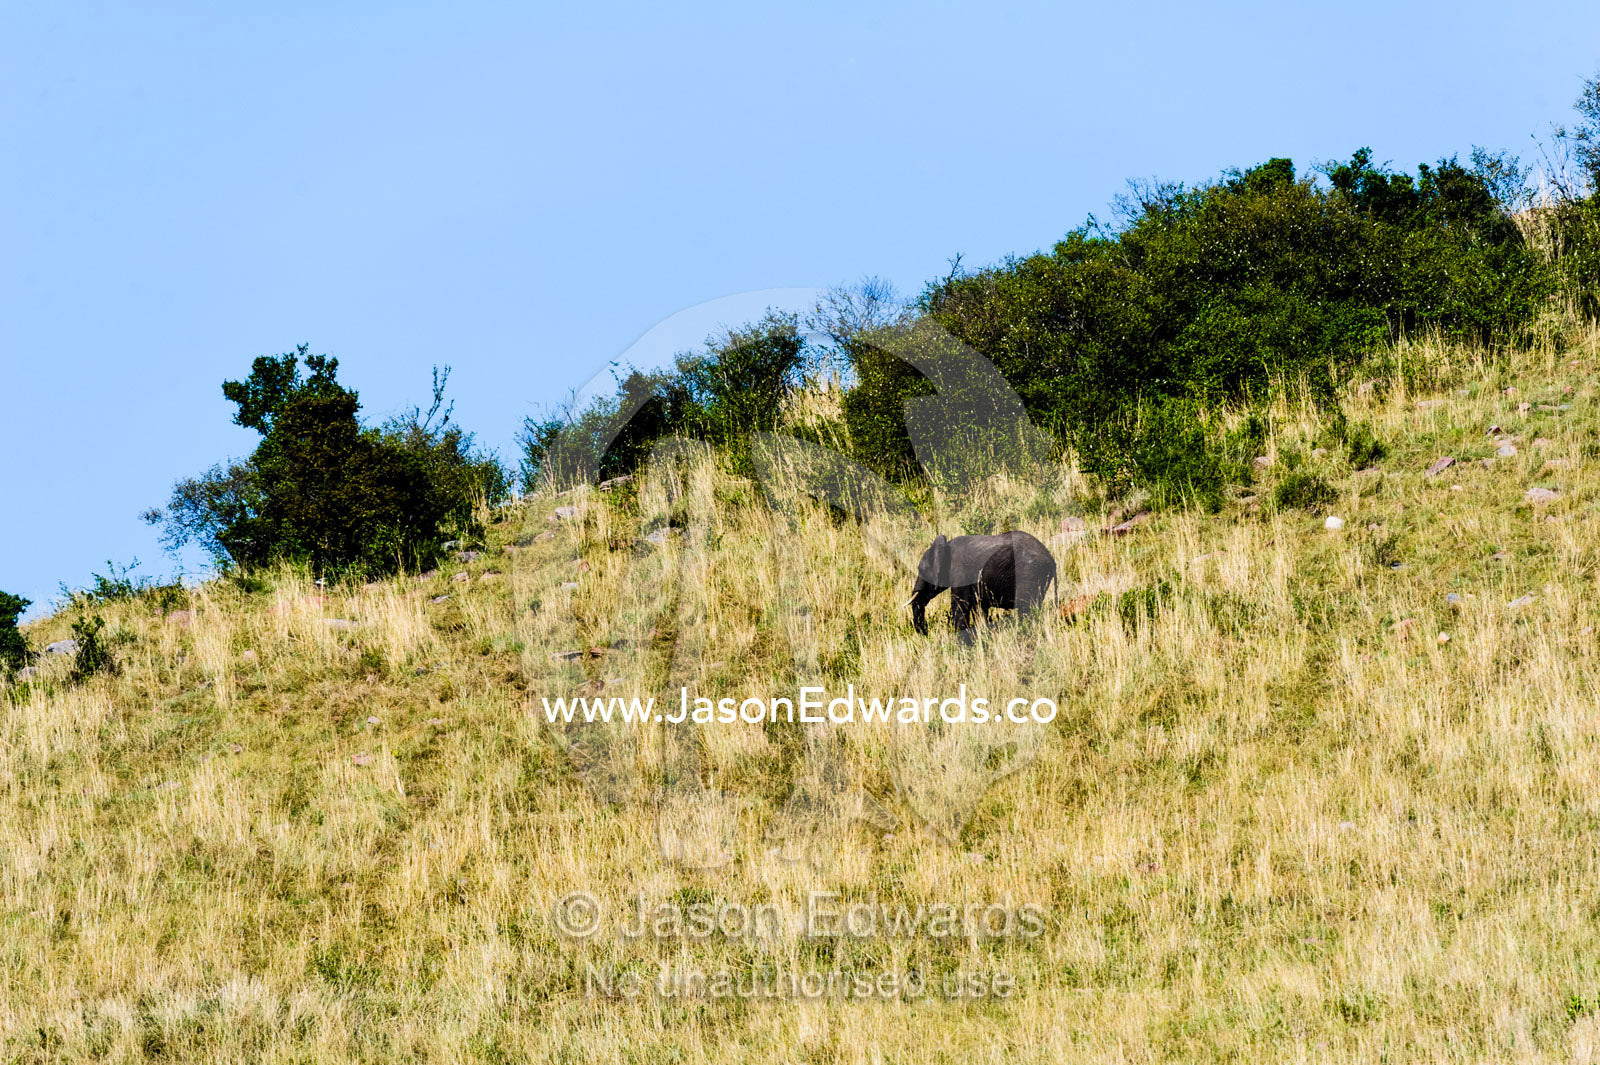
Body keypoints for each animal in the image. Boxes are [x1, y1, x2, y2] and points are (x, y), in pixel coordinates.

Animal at [908, 531, 1057, 643]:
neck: (946, 546)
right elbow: (979, 609)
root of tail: (1051, 560)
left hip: (1030, 574)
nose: (926, 634)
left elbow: (960, 607)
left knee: (1025, 610)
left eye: (921, 570)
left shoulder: (960, 573)